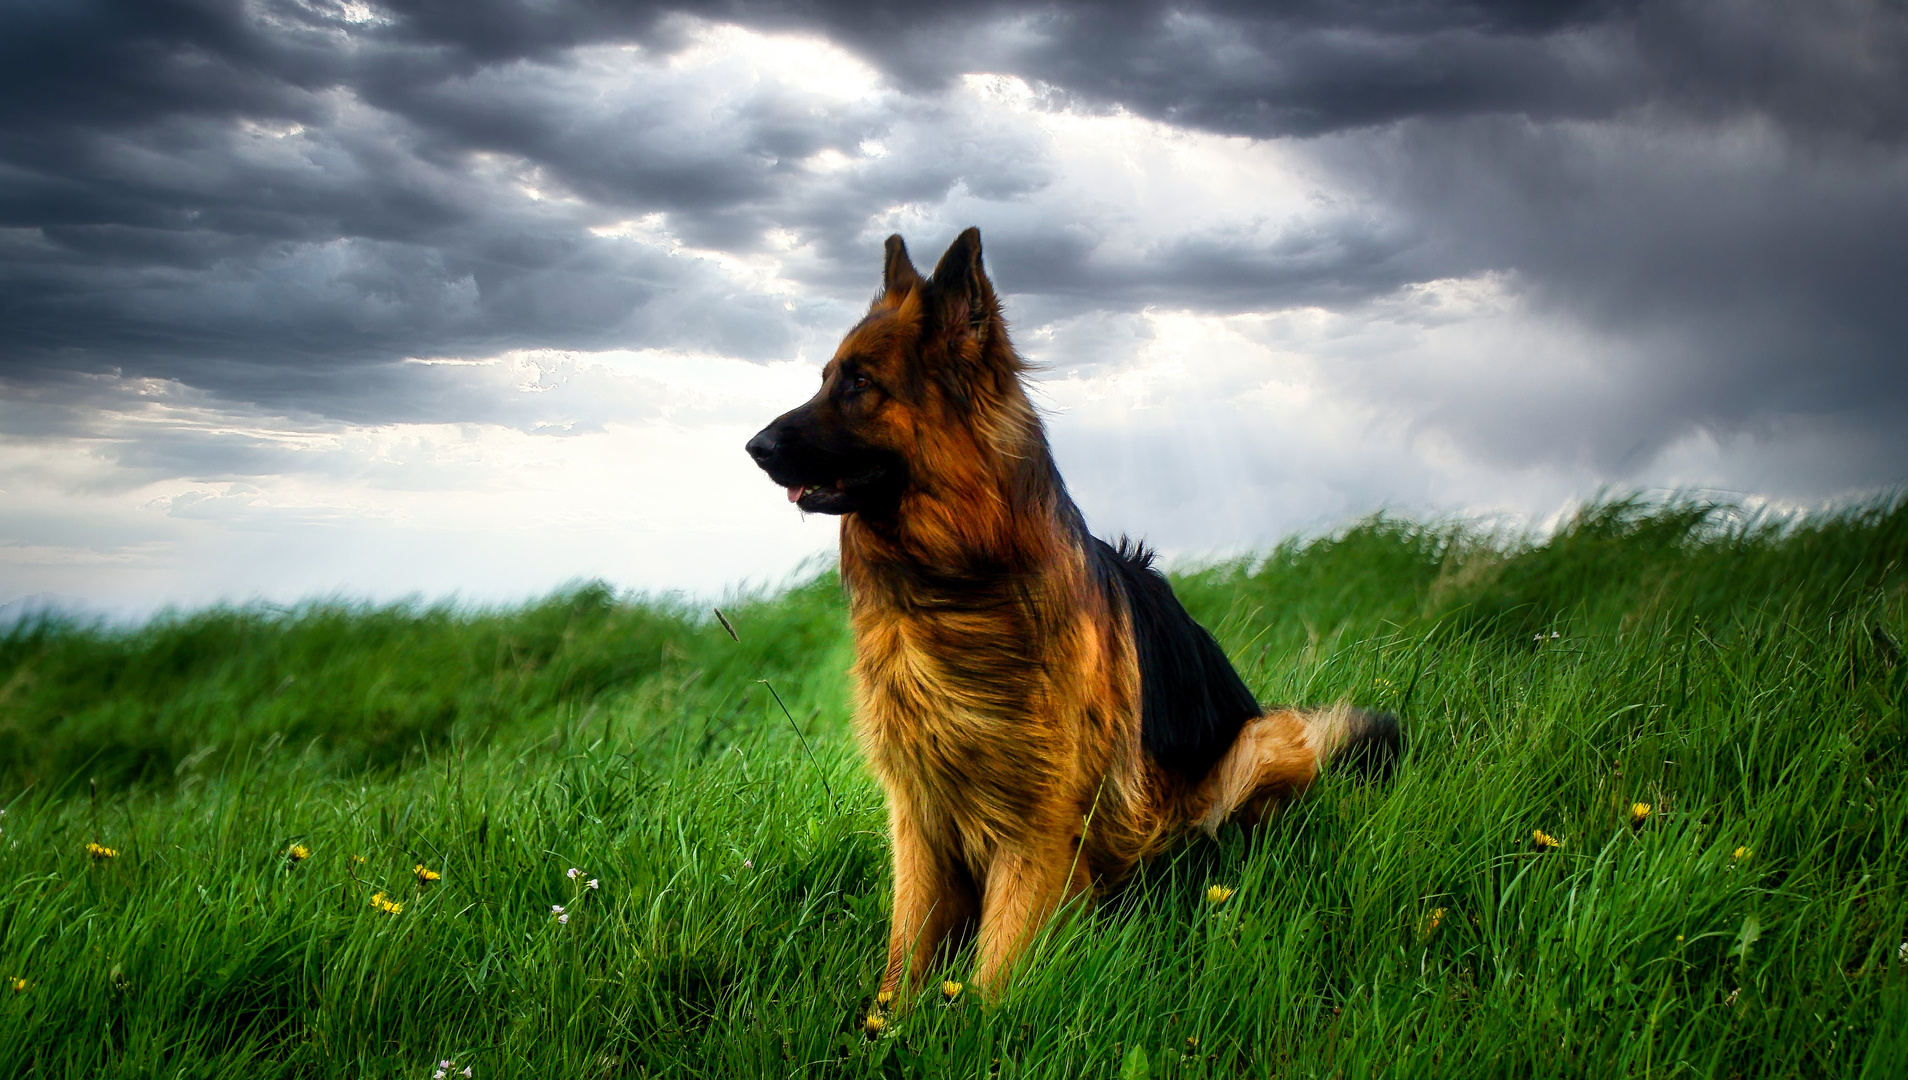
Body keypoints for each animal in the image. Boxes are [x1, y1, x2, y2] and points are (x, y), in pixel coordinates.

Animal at [747, 230, 1404, 1007]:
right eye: (825, 379)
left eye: (858, 385)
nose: (754, 447)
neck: (956, 587)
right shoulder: (919, 814)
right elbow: (905, 954)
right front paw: (890, 1023)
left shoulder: (1038, 823)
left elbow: (996, 972)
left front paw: (974, 1024)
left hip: (1258, 743)